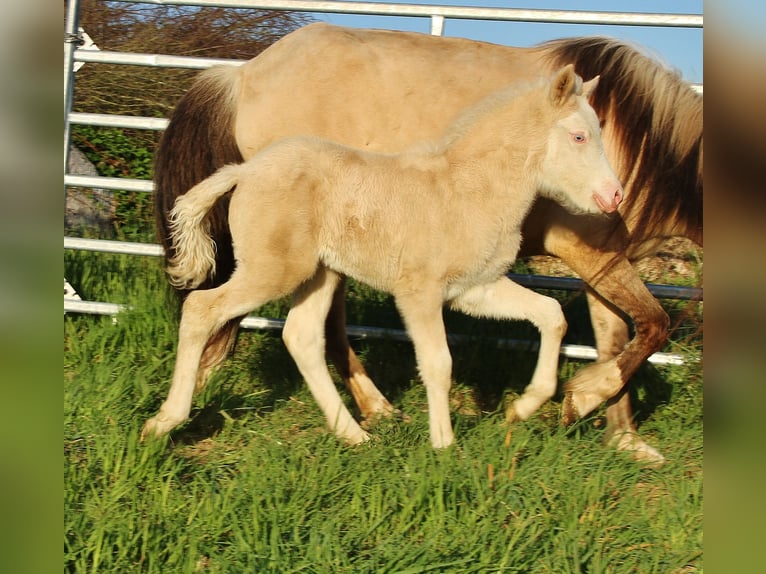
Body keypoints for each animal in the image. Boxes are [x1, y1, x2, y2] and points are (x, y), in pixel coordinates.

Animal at [153, 23, 703, 462]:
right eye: (579, 137)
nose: (613, 196)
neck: (465, 186)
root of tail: (243, 171)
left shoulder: (478, 288)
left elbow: (558, 318)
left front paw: (541, 407)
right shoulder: (420, 292)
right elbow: (439, 363)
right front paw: (446, 445)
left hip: (320, 273)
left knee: (302, 337)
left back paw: (355, 433)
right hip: (274, 270)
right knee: (203, 309)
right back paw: (165, 421)